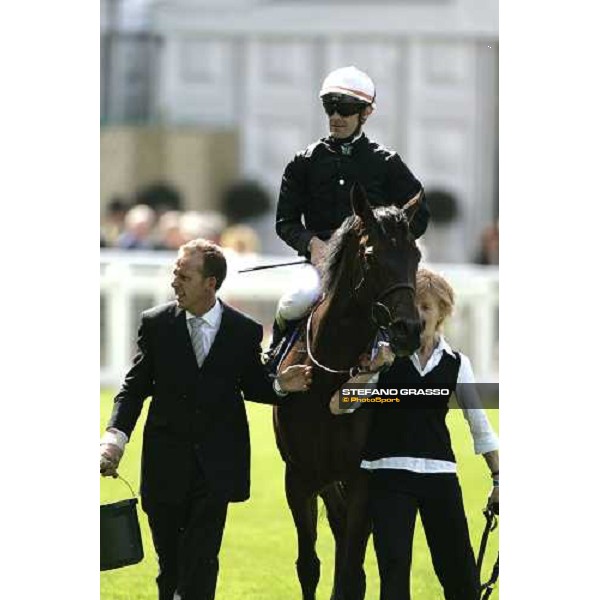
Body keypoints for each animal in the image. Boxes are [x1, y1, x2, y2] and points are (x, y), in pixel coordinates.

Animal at [274, 186, 422, 600]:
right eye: (371, 256)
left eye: (416, 255)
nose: (408, 330)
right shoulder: (299, 477)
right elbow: (309, 566)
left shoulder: (362, 479)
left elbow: (350, 572)